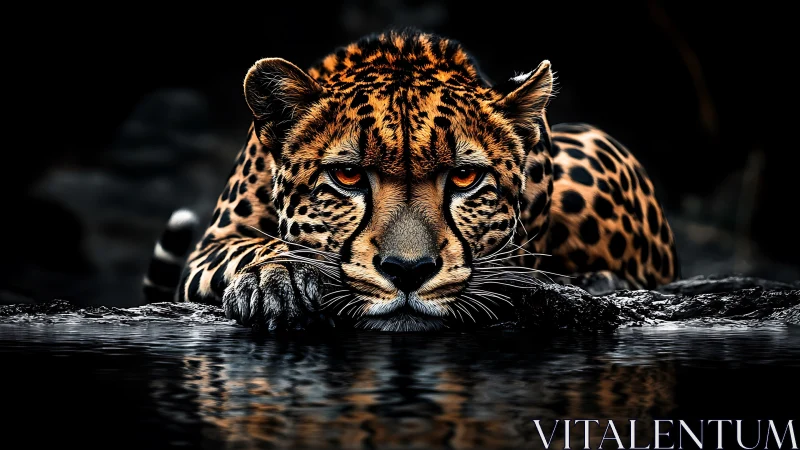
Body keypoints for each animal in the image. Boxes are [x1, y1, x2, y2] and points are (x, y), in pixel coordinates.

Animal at [142, 28, 680, 332]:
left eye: (464, 177)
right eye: (347, 175)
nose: (407, 271)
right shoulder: (213, 243)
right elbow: (251, 246)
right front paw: (276, 274)